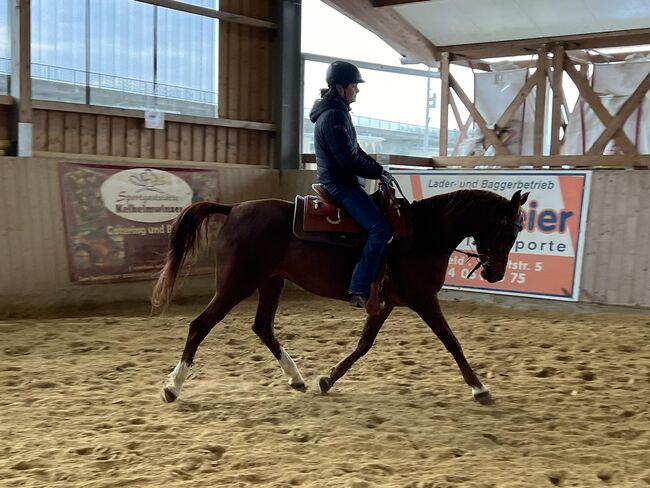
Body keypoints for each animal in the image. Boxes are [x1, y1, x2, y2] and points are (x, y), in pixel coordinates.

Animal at [152, 187, 528, 404]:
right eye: (509, 230)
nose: (495, 274)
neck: (422, 235)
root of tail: (233, 209)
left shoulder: (384, 304)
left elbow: (363, 345)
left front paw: (327, 379)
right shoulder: (423, 299)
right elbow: (452, 341)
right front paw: (479, 388)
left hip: (270, 282)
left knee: (262, 327)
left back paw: (297, 378)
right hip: (236, 285)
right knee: (200, 326)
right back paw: (172, 387)